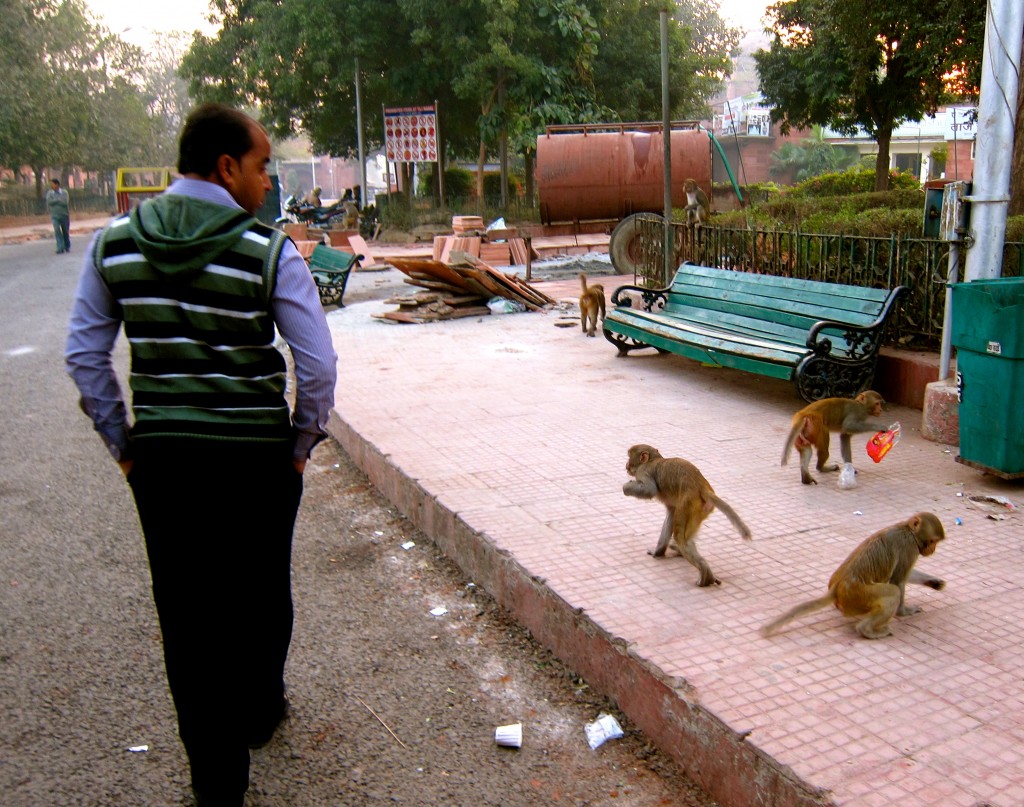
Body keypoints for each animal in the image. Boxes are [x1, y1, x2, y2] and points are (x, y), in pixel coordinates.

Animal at [614, 440, 753, 585]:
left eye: (629, 457)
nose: (626, 464)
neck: (653, 459)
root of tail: (702, 487)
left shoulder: (644, 471)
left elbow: (649, 490)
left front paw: (626, 487)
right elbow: (671, 513)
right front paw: (658, 552)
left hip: (688, 505)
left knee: (681, 538)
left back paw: (705, 574)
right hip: (699, 510)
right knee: (686, 537)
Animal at [761, 514, 942, 639]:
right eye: (932, 541)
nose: (932, 550)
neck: (907, 529)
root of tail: (837, 588)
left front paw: (934, 581)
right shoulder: (909, 548)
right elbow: (898, 581)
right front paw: (904, 611)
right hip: (858, 596)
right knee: (893, 592)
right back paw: (867, 630)